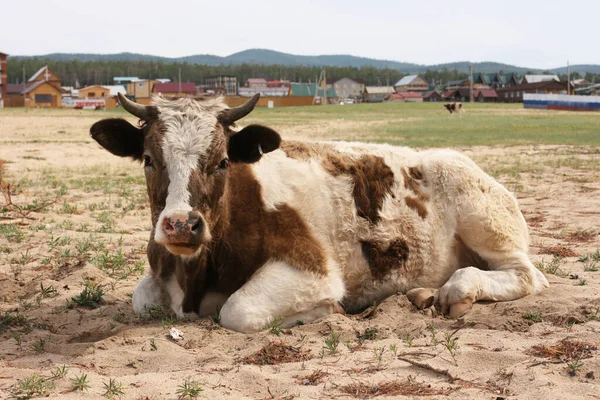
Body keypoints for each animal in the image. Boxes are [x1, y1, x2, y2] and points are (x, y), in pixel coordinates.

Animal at [90, 92, 548, 332]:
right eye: (149, 159)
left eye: (222, 162)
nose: (181, 225)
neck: (197, 272)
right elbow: (142, 298)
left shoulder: (311, 267)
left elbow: (238, 311)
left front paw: (326, 310)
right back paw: (425, 293)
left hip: (481, 213)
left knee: (527, 274)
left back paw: (457, 290)